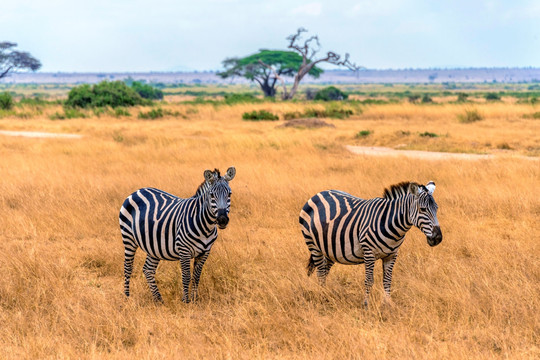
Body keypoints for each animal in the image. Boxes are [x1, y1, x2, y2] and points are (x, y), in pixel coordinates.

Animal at [118, 167, 236, 302]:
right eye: (211, 195)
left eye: (229, 194)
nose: (222, 220)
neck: (206, 227)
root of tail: (137, 191)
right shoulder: (184, 250)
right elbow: (186, 276)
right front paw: (186, 301)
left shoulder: (205, 252)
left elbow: (196, 276)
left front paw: (194, 300)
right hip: (128, 238)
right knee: (128, 267)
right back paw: (127, 297)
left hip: (154, 246)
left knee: (148, 269)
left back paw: (159, 300)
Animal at [300, 180, 442, 306]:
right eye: (422, 209)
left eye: (436, 208)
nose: (438, 238)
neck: (391, 224)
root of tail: (319, 193)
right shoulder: (369, 252)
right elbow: (369, 280)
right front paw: (366, 304)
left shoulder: (392, 255)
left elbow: (387, 280)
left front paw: (388, 304)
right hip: (313, 245)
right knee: (320, 272)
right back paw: (321, 297)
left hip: (331, 249)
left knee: (325, 271)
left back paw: (325, 294)